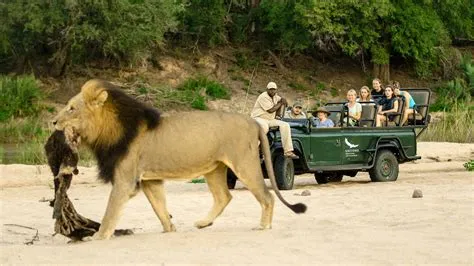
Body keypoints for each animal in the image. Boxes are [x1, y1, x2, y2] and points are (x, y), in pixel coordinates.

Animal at [51, 79, 304, 241]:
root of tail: (254, 122)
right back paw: (203, 223)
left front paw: (98, 237)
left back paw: (263, 225)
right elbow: (160, 207)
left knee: (267, 196)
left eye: (71, 108)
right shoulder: (150, 180)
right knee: (224, 196)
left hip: (244, 163)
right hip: (214, 168)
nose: (53, 122)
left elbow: (110, 212)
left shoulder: (125, 180)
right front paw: (170, 228)